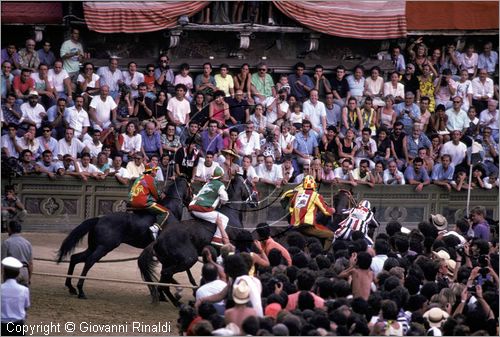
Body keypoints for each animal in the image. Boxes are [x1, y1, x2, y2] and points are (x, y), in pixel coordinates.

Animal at [56, 176, 192, 296]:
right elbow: (182, 268)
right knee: (89, 261)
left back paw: (71, 287)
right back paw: (80, 290)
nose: (191, 202)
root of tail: (98, 219)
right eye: (191, 187)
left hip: (93, 246)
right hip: (103, 248)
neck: (171, 210)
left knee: (75, 258)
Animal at [139, 175, 260, 306]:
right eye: (251, 184)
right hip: (188, 259)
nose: (256, 201)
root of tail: (159, 239)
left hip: (168, 261)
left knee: (163, 282)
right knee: (166, 276)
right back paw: (179, 301)